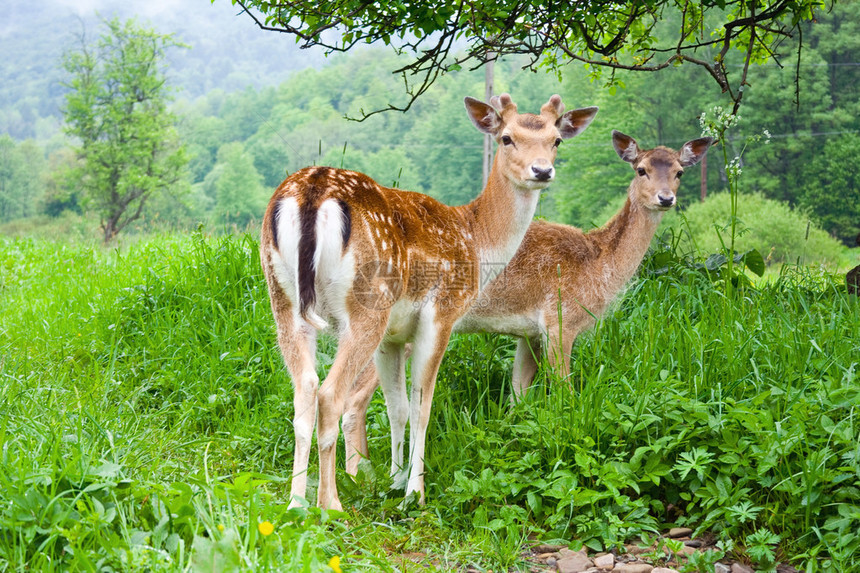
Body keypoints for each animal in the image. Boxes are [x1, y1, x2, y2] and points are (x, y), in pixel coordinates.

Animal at [260, 94, 596, 510]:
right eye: (506, 138)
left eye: (556, 140)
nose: (542, 170)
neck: (476, 241)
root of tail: (312, 192)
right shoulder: (443, 313)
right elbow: (422, 405)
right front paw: (414, 494)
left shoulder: (392, 337)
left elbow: (398, 407)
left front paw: (394, 482)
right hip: (367, 304)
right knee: (329, 393)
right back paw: (330, 504)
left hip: (283, 299)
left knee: (304, 390)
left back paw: (296, 503)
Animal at [342, 130, 712, 474]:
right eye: (641, 169)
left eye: (679, 171)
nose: (666, 198)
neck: (599, 266)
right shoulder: (560, 320)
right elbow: (565, 392)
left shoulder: (529, 332)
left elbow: (517, 396)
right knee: (354, 397)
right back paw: (362, 476)